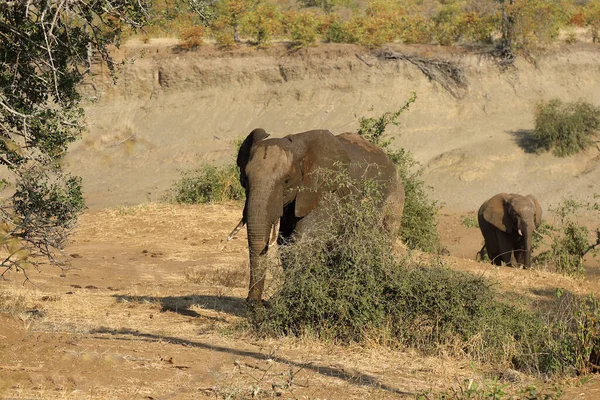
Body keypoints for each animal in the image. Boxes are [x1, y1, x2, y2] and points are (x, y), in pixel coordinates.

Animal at [237, 128, 406, 300]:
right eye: (244, 179)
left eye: (286, 181)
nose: (253, 303)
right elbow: (286, 242)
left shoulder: (325, 190)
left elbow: (304, 242)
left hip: (394, 202)